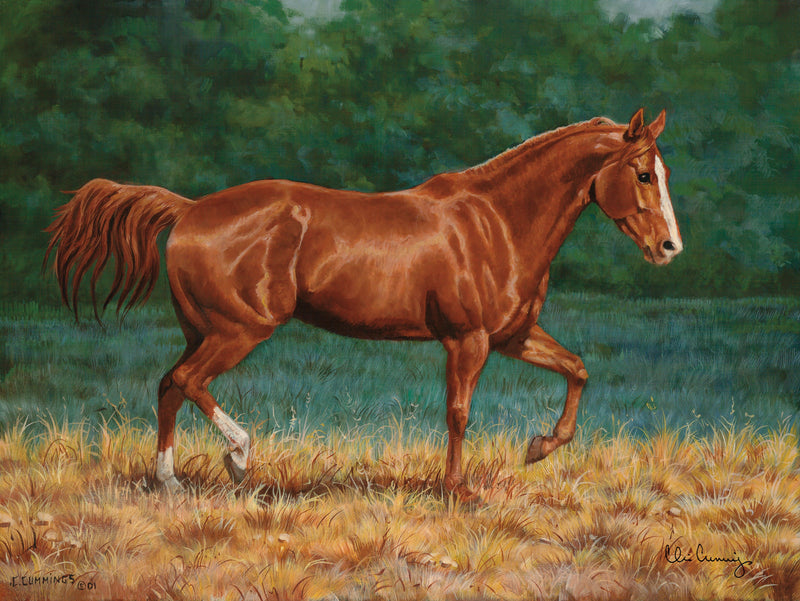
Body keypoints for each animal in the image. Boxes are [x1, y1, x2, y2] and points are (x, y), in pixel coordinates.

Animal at [44, 108, 682, 502]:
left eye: (661, 171)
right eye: (643, 174)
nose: (669, 248)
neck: (497, 221)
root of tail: (190, 209)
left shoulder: (512, 337)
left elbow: (578, 369)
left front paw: (539, 448)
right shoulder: (469, 340)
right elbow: (458, 413)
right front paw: (458, 490)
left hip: (203, 330)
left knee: (167, 387)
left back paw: (170, 482)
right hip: (239, 330)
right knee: (187, 381)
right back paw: (239, 457)